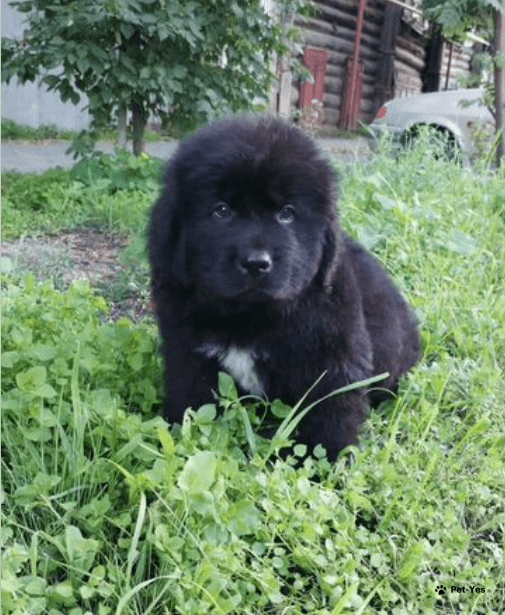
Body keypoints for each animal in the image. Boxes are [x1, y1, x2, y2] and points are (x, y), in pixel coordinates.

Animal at [148, 116, 420, 462]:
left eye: (287, 213)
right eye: (222, 210)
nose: (256, 263)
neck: (249, 317)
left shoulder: (331, 357)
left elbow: (330, 410)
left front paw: (327, 459)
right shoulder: (187, 350)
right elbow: (190, 396)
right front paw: (178, 435)